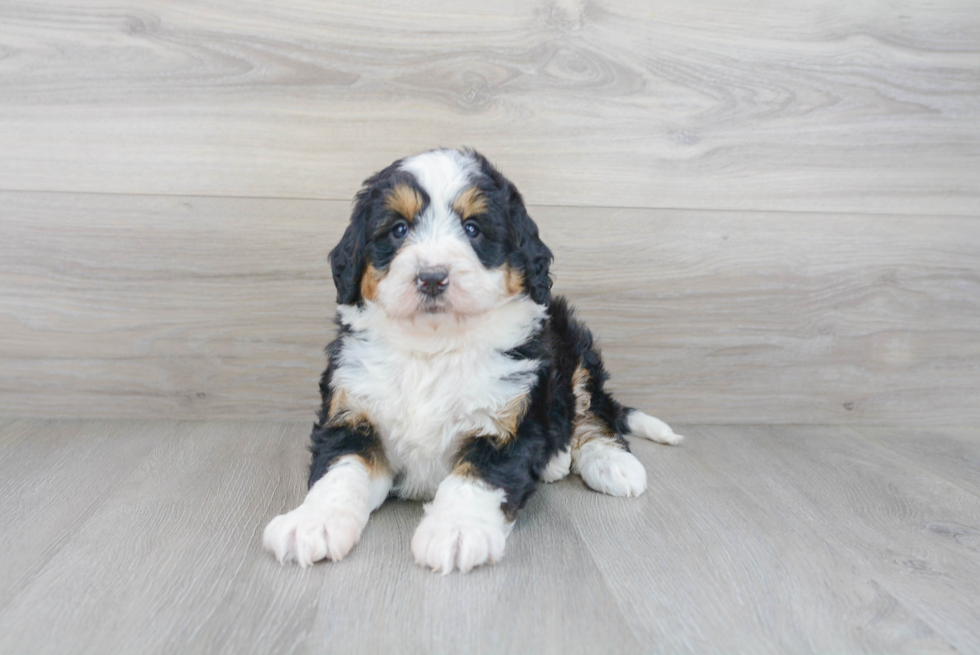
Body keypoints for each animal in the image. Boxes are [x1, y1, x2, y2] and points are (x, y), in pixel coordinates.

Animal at [264, 149, 684, 576]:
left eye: (472, 229)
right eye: (399, 229)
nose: (432, 277)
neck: (433, 347)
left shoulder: (506, 422)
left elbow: (479, 476)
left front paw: (457, 530)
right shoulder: (351, 413)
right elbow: (341, 469)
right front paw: (312, 523)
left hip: (572, 344)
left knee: (591, 410)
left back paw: (610, 462)